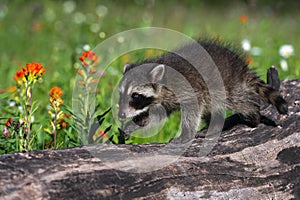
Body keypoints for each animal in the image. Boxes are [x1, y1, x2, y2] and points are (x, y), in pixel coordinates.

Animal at [118, 39, 288, 141]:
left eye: (135, 95)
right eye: (121, 93)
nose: (120, 115)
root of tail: (240, 66)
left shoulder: (187, 88)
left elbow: (192, 110)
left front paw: (186, 133)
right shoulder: (162, 100)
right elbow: (156, 116)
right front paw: (136, 123)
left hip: (226, 85)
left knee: (241, 100)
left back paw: (253, 114)